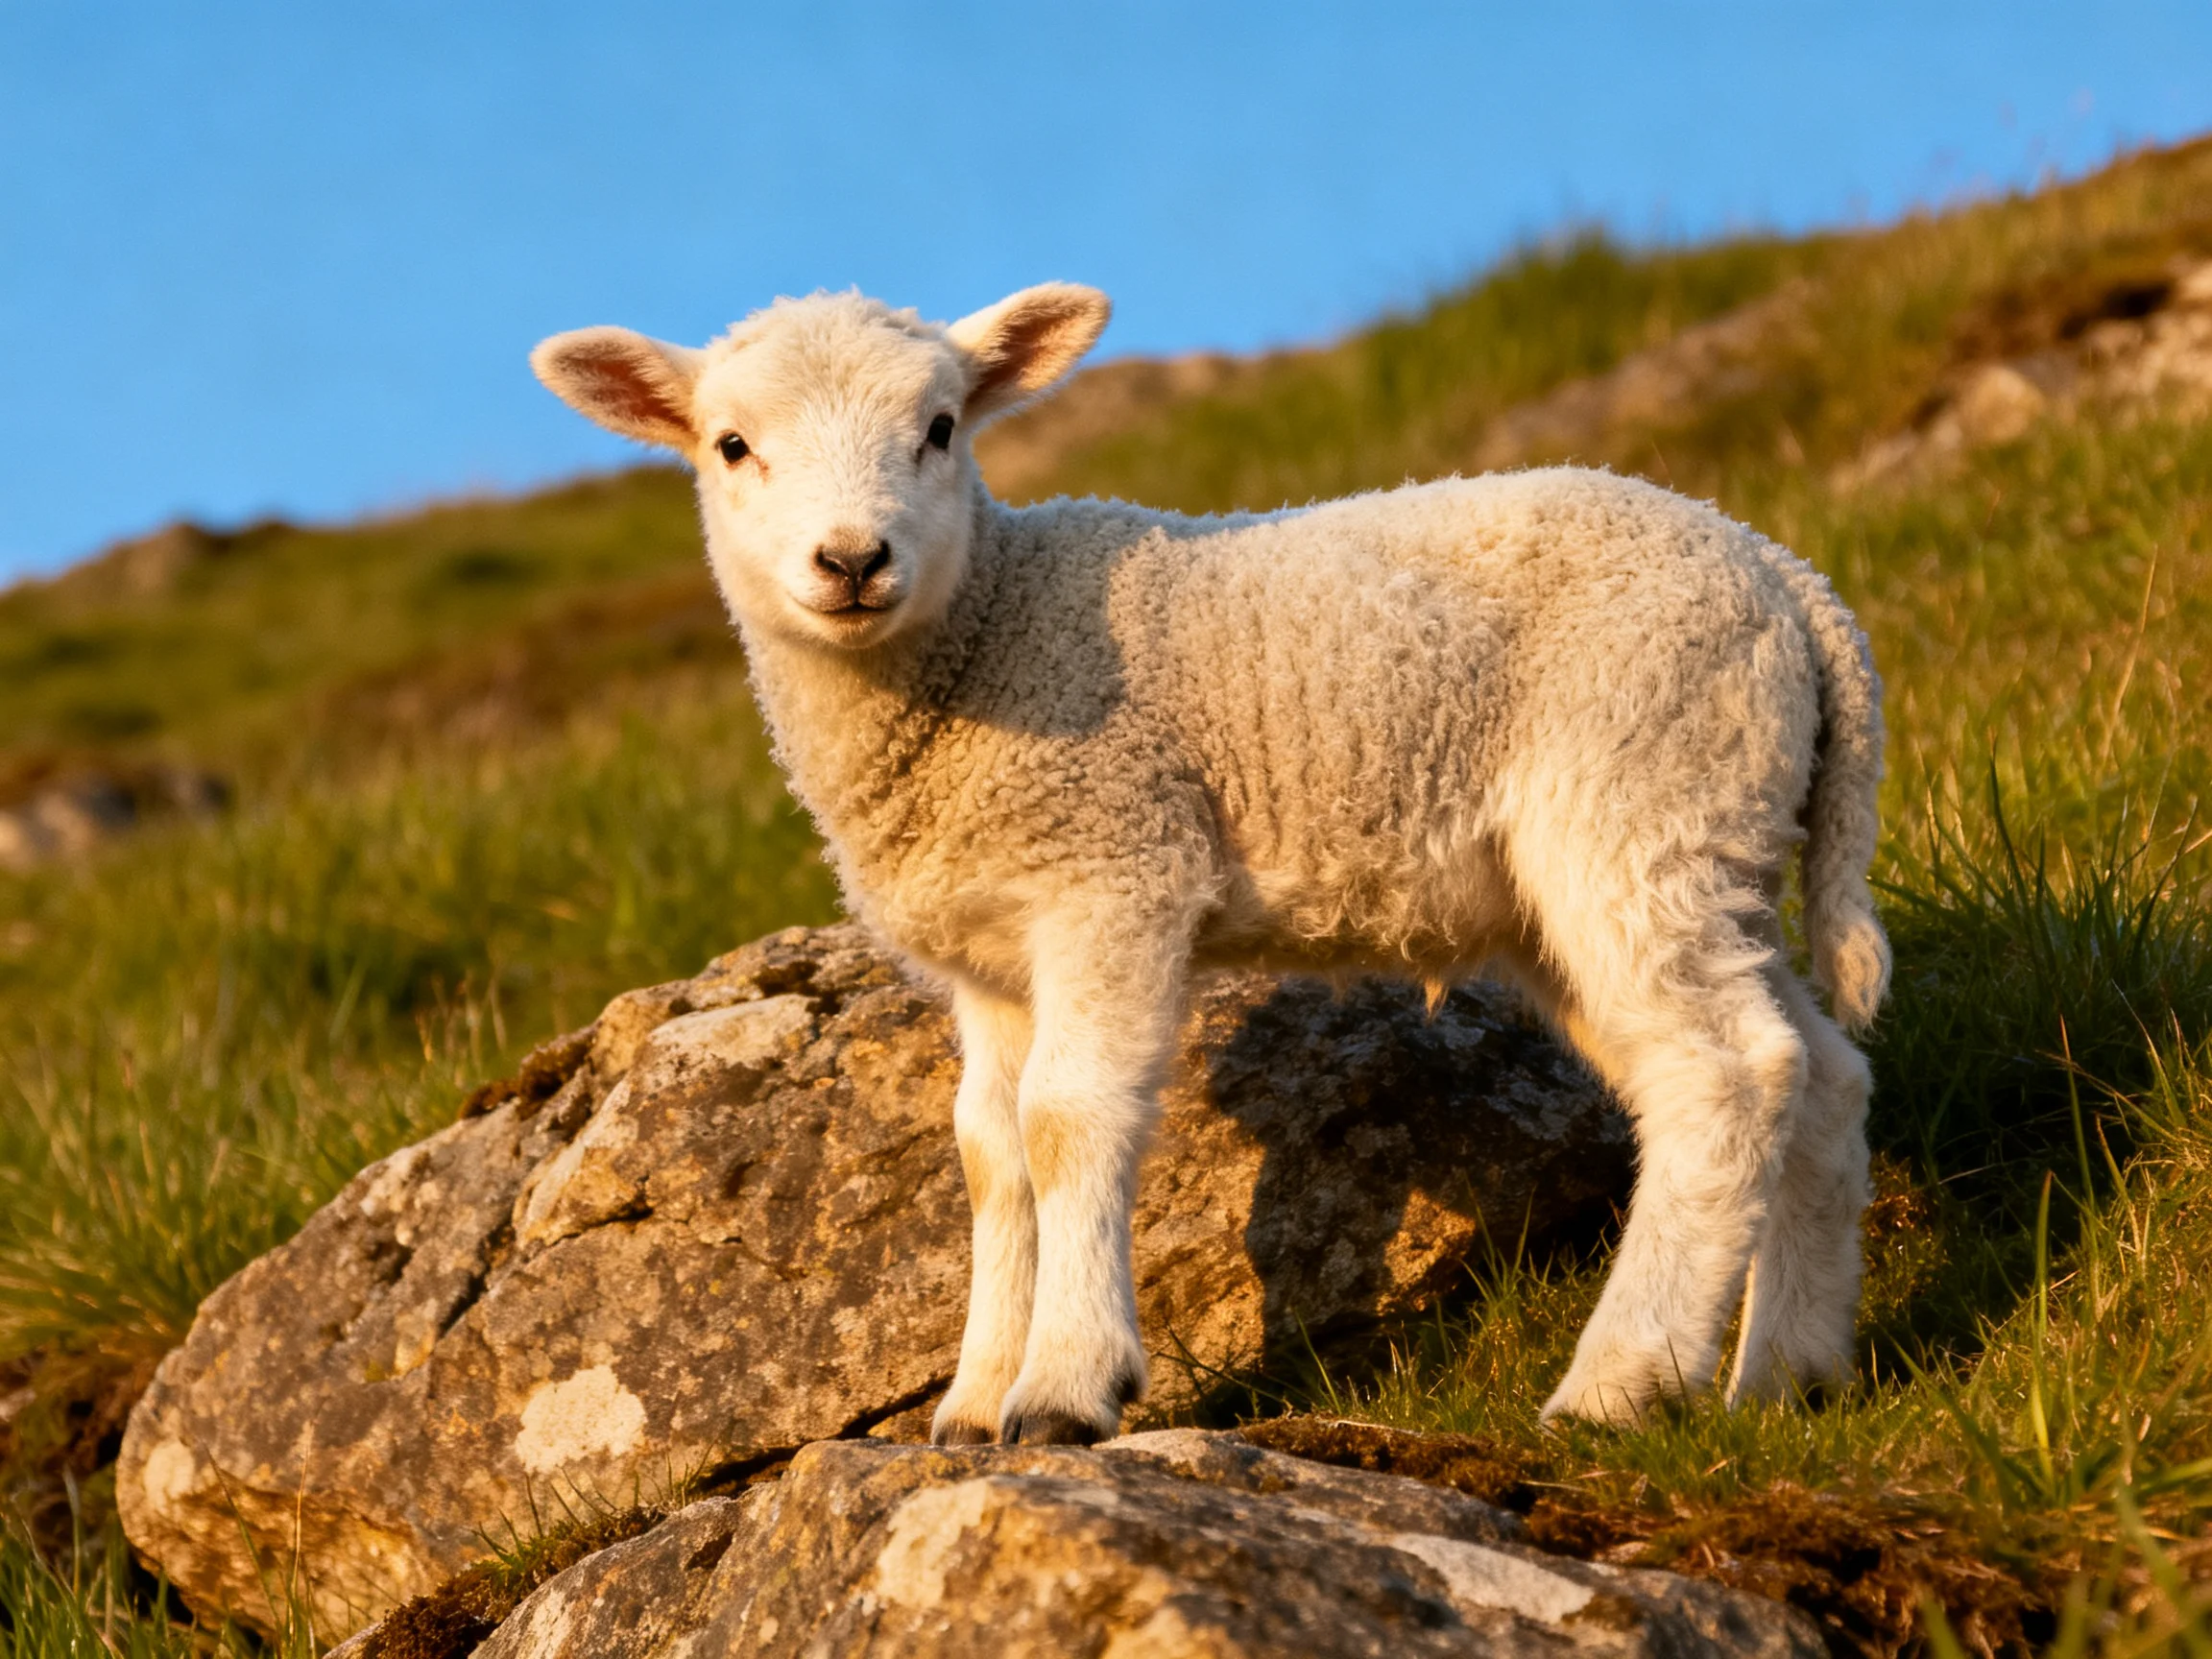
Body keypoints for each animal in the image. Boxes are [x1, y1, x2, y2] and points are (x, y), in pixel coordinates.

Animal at [531, 283, 1890, 1443]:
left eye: (939, 428)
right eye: (730, 447)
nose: (853, 562)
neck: (986, 636)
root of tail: (1790, 582)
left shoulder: (1112, 870)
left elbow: (1068, 1121)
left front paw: (1065, 1388)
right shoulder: (990, 953)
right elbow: (987, 1153)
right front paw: (972, 1402)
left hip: (1637, 790)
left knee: (1725, 1073)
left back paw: (1620, 1386)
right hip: (1690, 841)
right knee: (1812, 1069)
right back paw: (1789, 1374)